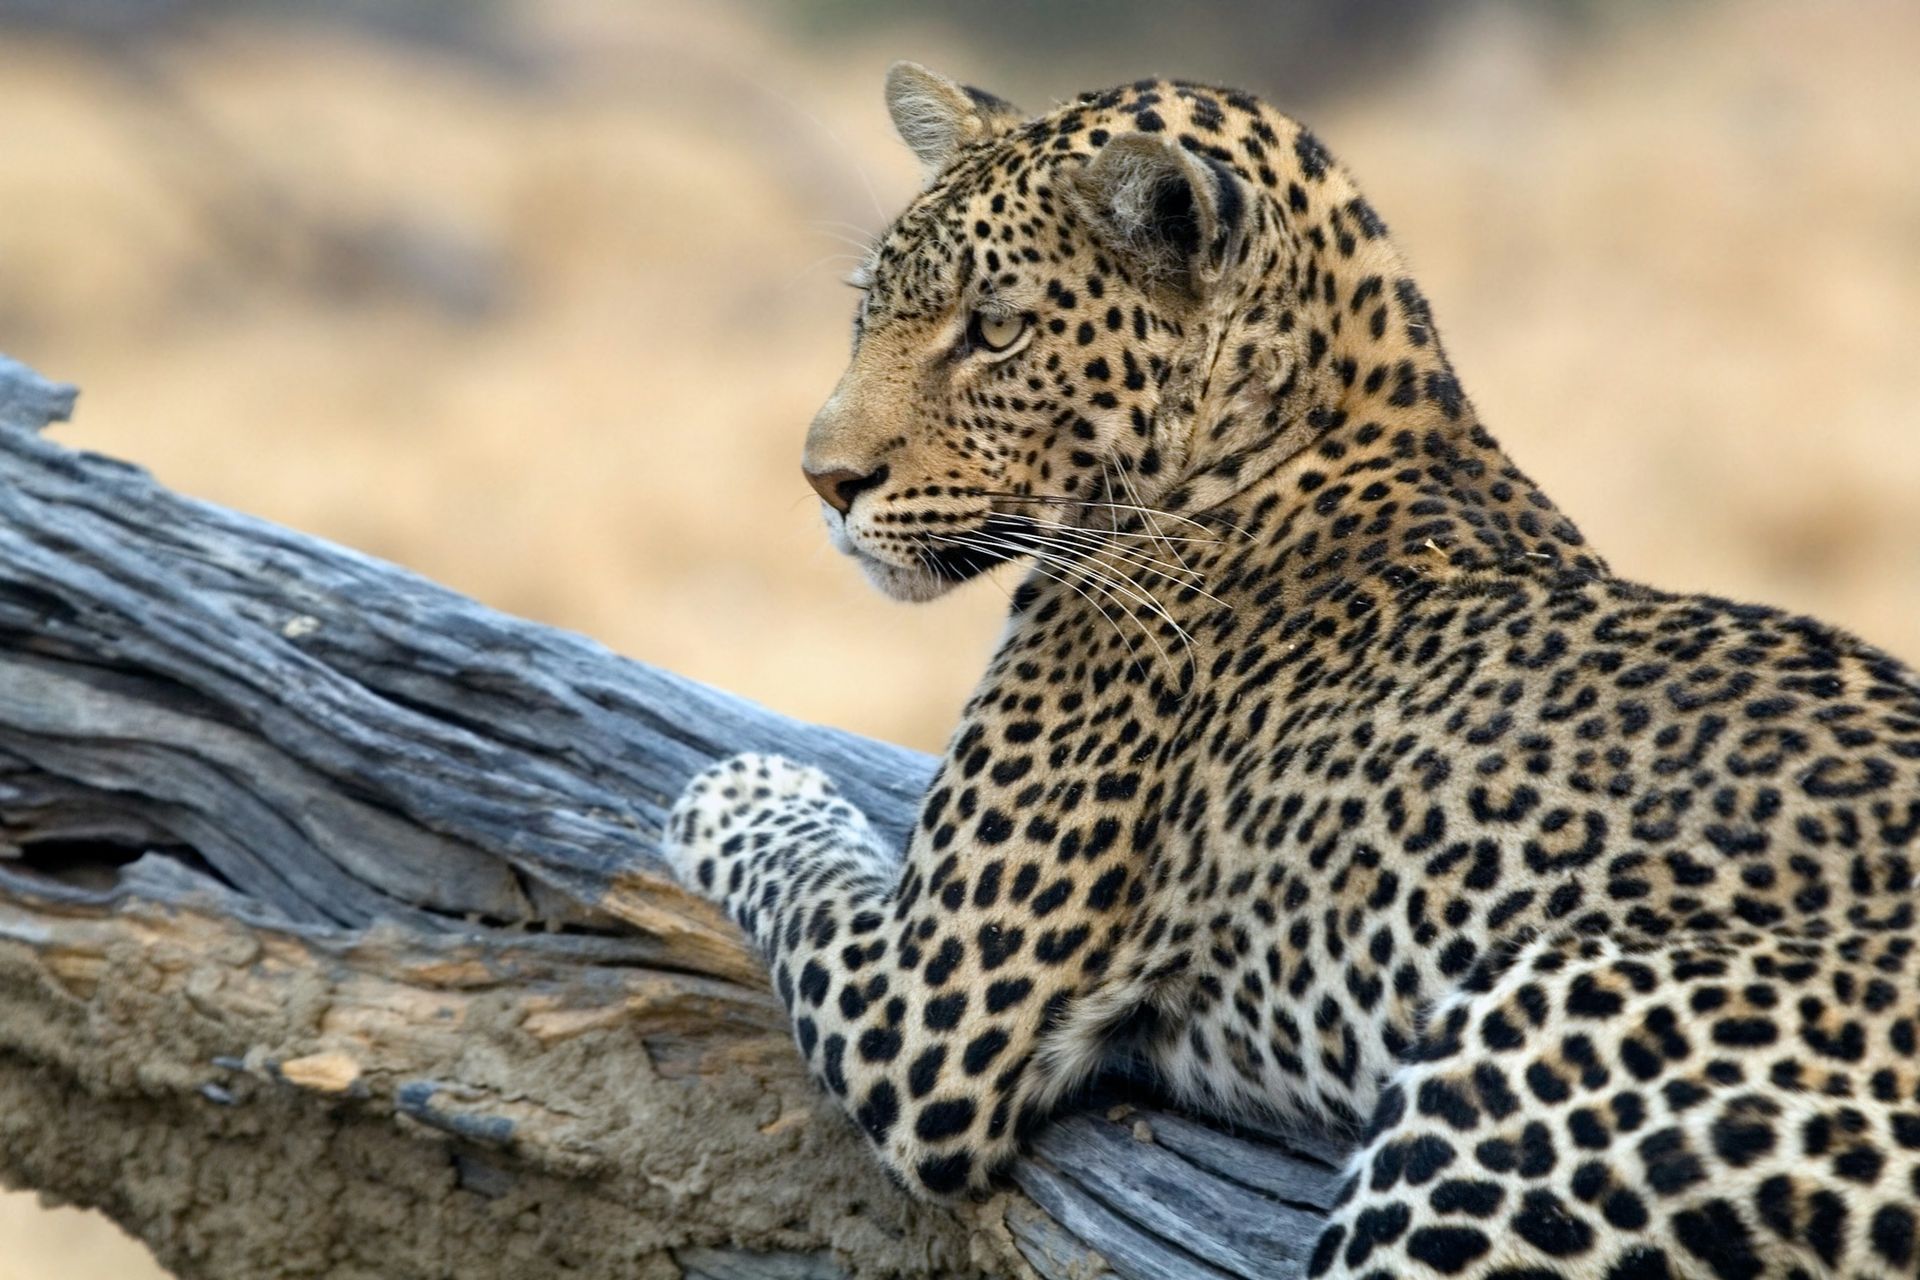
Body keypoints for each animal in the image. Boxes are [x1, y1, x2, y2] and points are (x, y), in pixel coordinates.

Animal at [664, 62, 1920, 1279]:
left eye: (997, 330)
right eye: (867, 312)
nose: (824, 481)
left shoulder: (929, 1012)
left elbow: (802, 863)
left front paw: (740, 784)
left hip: (1518, 1042)